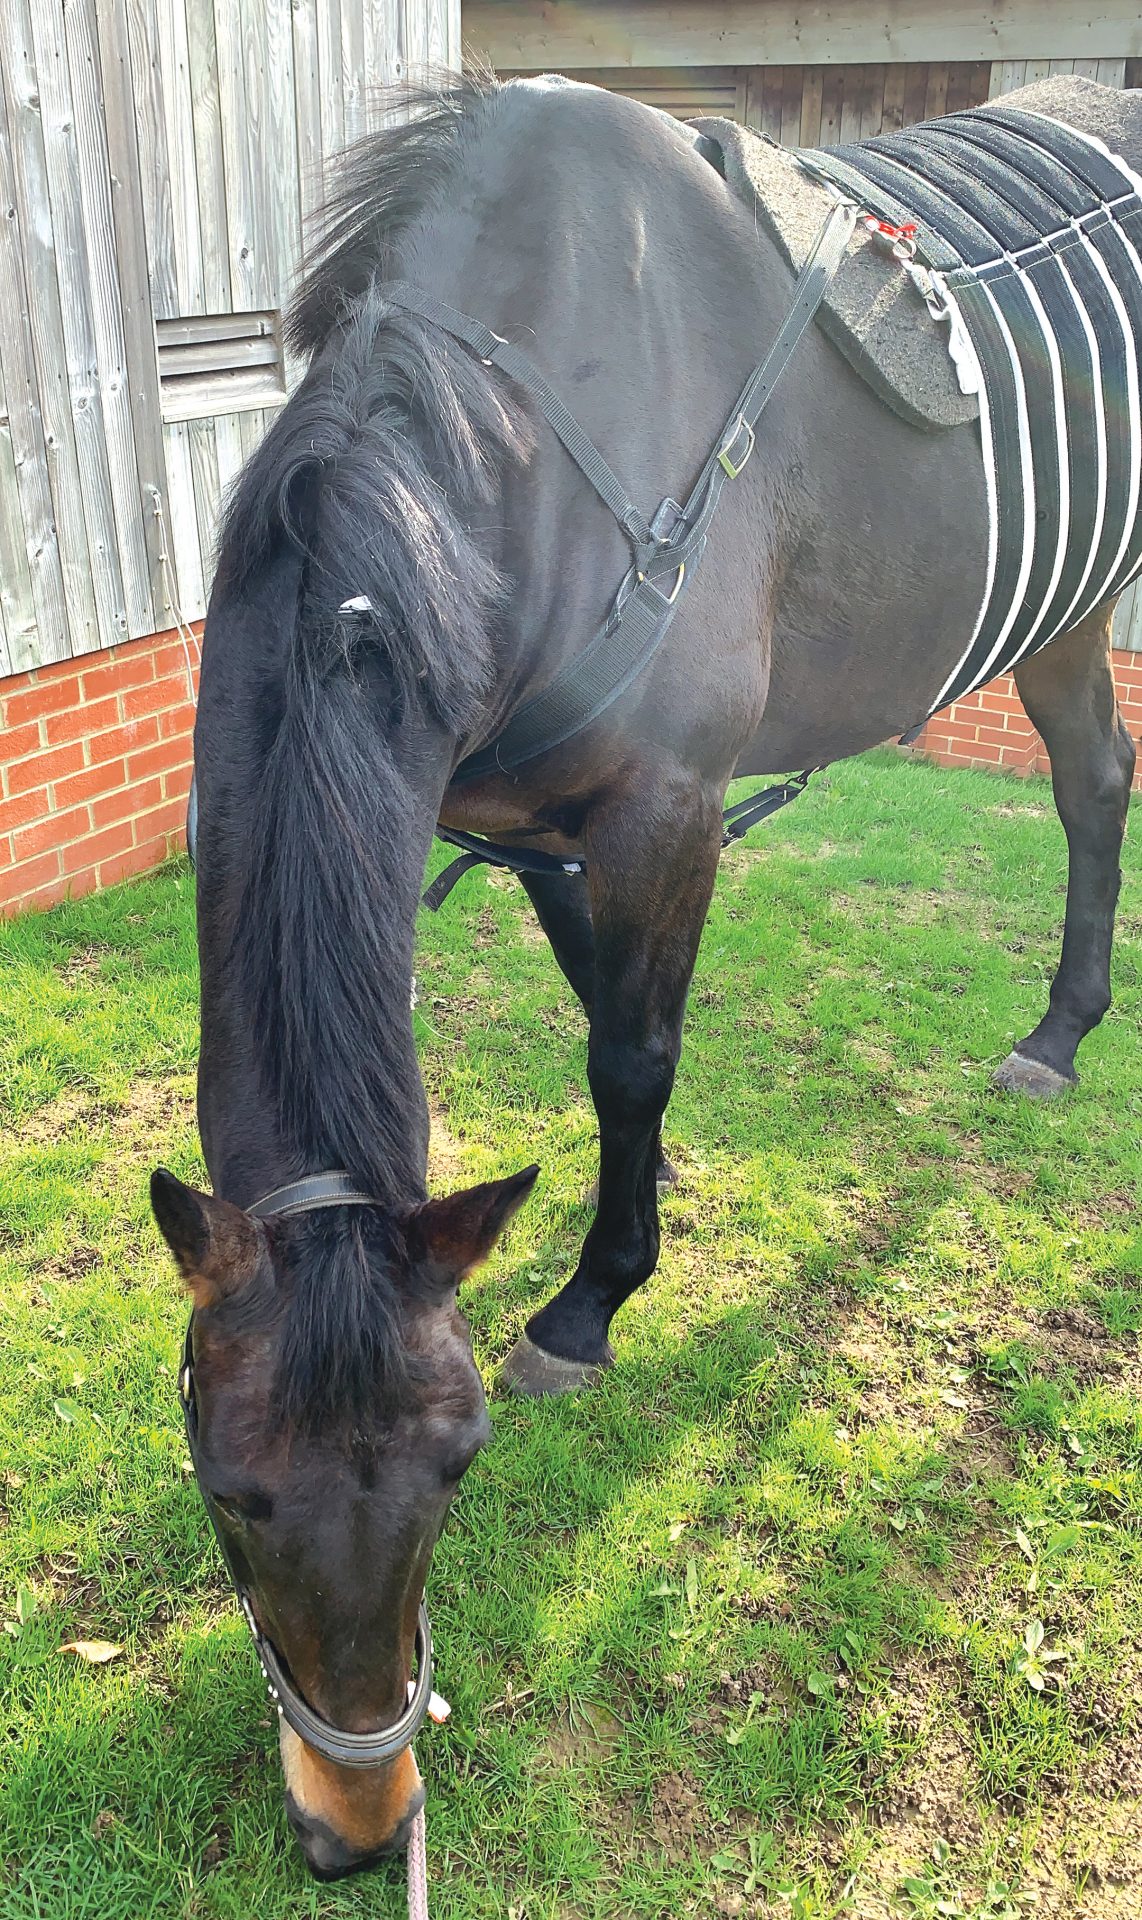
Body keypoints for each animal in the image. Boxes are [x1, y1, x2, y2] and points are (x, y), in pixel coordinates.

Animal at [150, 72, 1137, 1877]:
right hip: (1065, 607)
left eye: (457, 1472)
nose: (357, 1825)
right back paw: (1059, 1028)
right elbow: (610, 1020)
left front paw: (595, 1298)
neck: (511, 437)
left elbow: (632, 1053)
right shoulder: (540, 830)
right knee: (1099, 782)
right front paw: (641, 1201)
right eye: (225, 1488)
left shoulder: (663, 809)